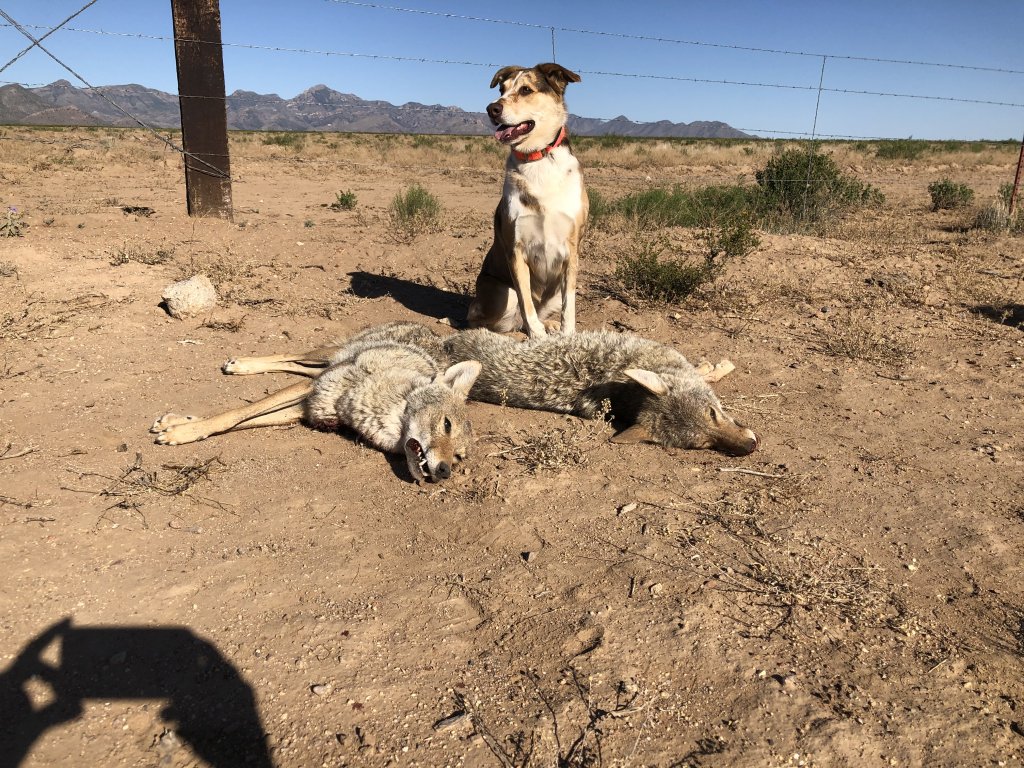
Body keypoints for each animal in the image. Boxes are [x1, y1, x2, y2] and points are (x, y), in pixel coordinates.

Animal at [150, 323, 480, 484]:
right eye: (446, 425)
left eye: (458, 457)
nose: (444, 472)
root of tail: (431, 332)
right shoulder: (312, 391)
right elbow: (236, 413)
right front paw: (182, 432)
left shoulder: (306, 409)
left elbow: (244, 420)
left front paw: (182, 426)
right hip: (323, 356)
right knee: (288, 356)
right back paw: (241, 364)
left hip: (320, 367)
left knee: (295, 363)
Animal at [467, 62, 589, 337]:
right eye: (501, 89)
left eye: (525, 90)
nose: (492, 108)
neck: (538, 158)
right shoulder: (516, 249)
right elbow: (526, 302)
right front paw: (537, 336)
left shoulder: (571, 250)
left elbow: (569, 305)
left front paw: (566, 334)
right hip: (502, 292)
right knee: (483, 322)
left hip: (552, 291)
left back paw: (550, 325)